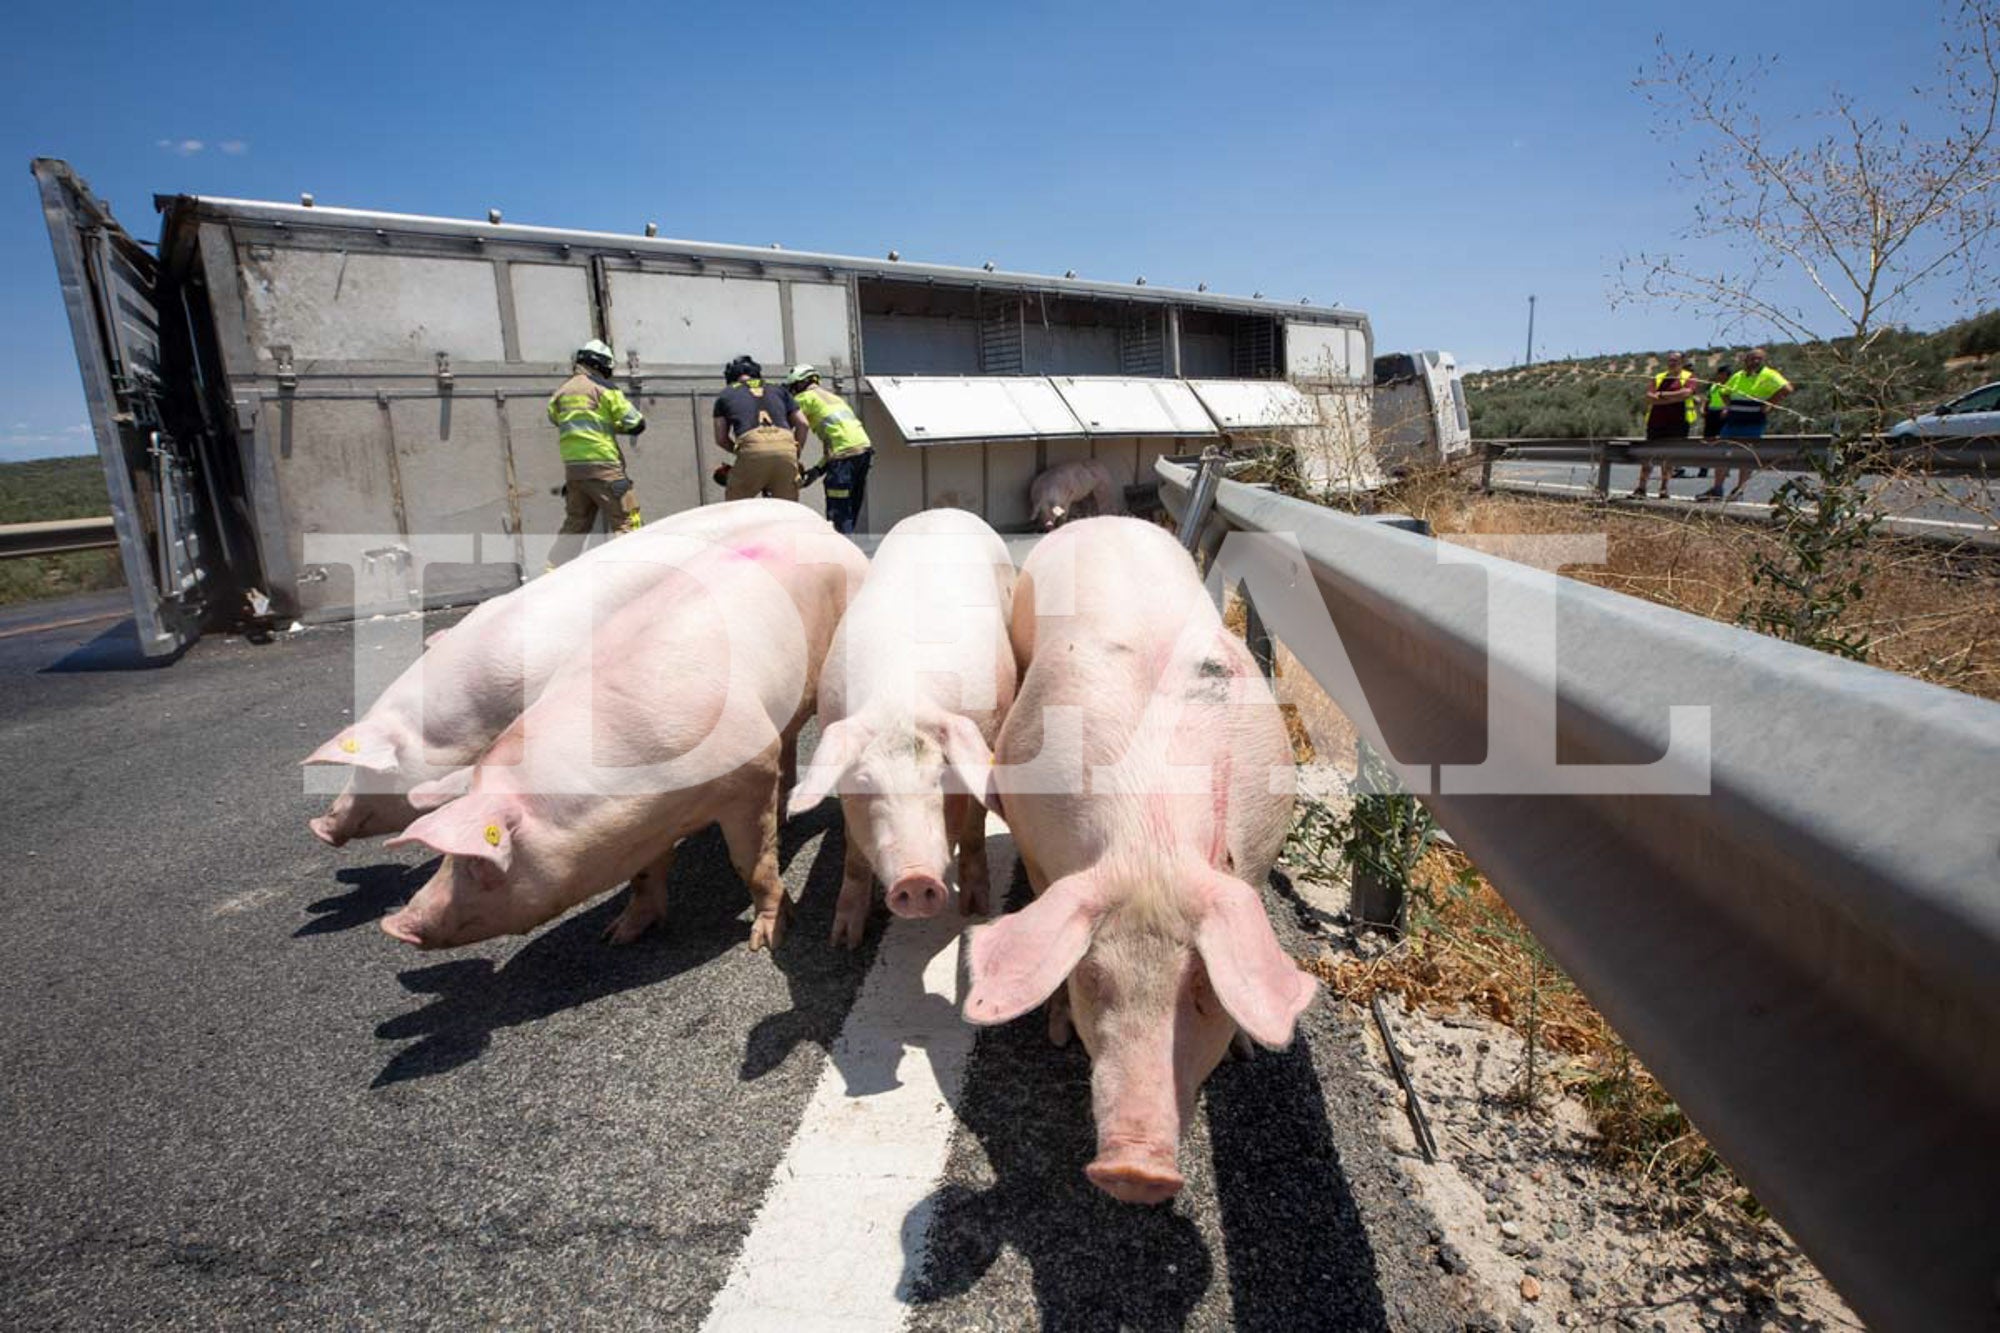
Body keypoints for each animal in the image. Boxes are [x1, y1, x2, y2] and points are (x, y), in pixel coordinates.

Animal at [378, 524, 872, 948]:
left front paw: (765, 940)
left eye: (478, 862)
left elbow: (752, 864)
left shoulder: (747, 774)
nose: (396, 925)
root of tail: (826, 531)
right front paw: (617, 935)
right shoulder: (646, 824)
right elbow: (643, 876)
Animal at [780, 506, 1016, 944]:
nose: (914, 879)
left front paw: (975, 909)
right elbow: (855, 854)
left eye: (942, 778)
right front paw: (843, 941)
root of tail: (944, 508)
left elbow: (975, 827)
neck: (898, 701)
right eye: (865, 783)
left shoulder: (986, 733)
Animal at [964, 512, 1312, 1200]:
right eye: (1092, 979)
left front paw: (1245, 1050)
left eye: (1202, 989)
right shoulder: (1036, 842)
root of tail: (1103, 518)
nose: (1134, 1169)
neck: (1152, 840)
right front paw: (1056, 1032)